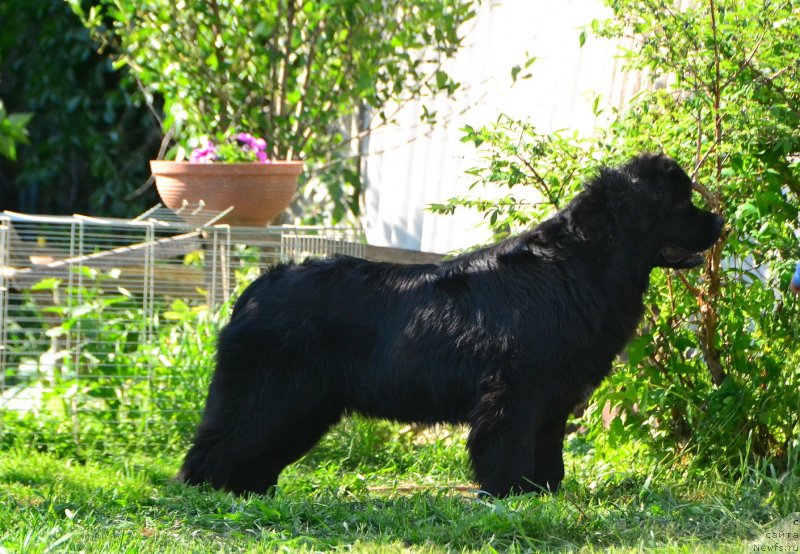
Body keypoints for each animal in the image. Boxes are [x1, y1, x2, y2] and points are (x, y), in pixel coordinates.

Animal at [180, 152, 724, 496]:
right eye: (679, 204)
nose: (720, 221)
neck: (579, 262)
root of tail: (256, 288)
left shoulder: (553, 398)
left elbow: (549, 451)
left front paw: (545, 493)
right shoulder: (514, 394)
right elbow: (509, 449)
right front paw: (511, 495)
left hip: (303, 405)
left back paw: (250, 492)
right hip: (274, 393)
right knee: (220, 441)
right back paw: (204, 492)